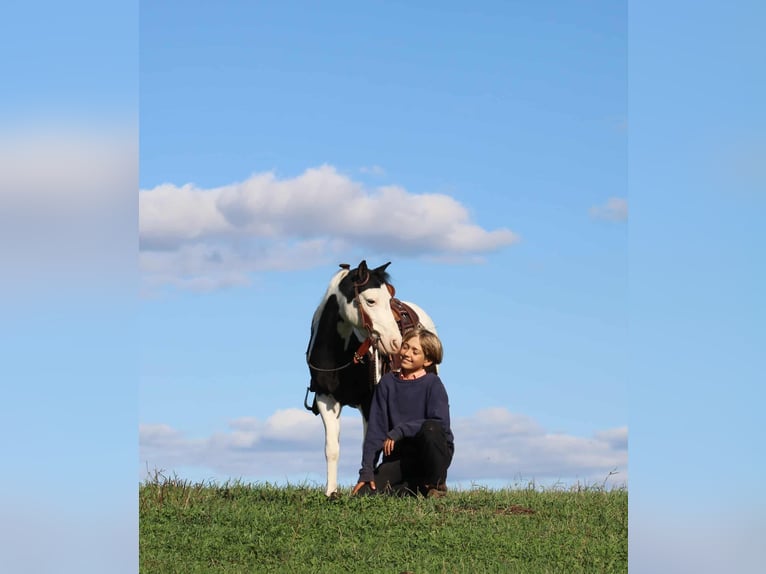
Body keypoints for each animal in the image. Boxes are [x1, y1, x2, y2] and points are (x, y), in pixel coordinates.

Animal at [304, 260, 436, 498]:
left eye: (388, 298)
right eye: (371, 300)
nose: (396, 343)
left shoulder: (369, 402)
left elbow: (370, 446)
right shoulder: (325, 398)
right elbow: (332, 449)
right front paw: (331, 492)